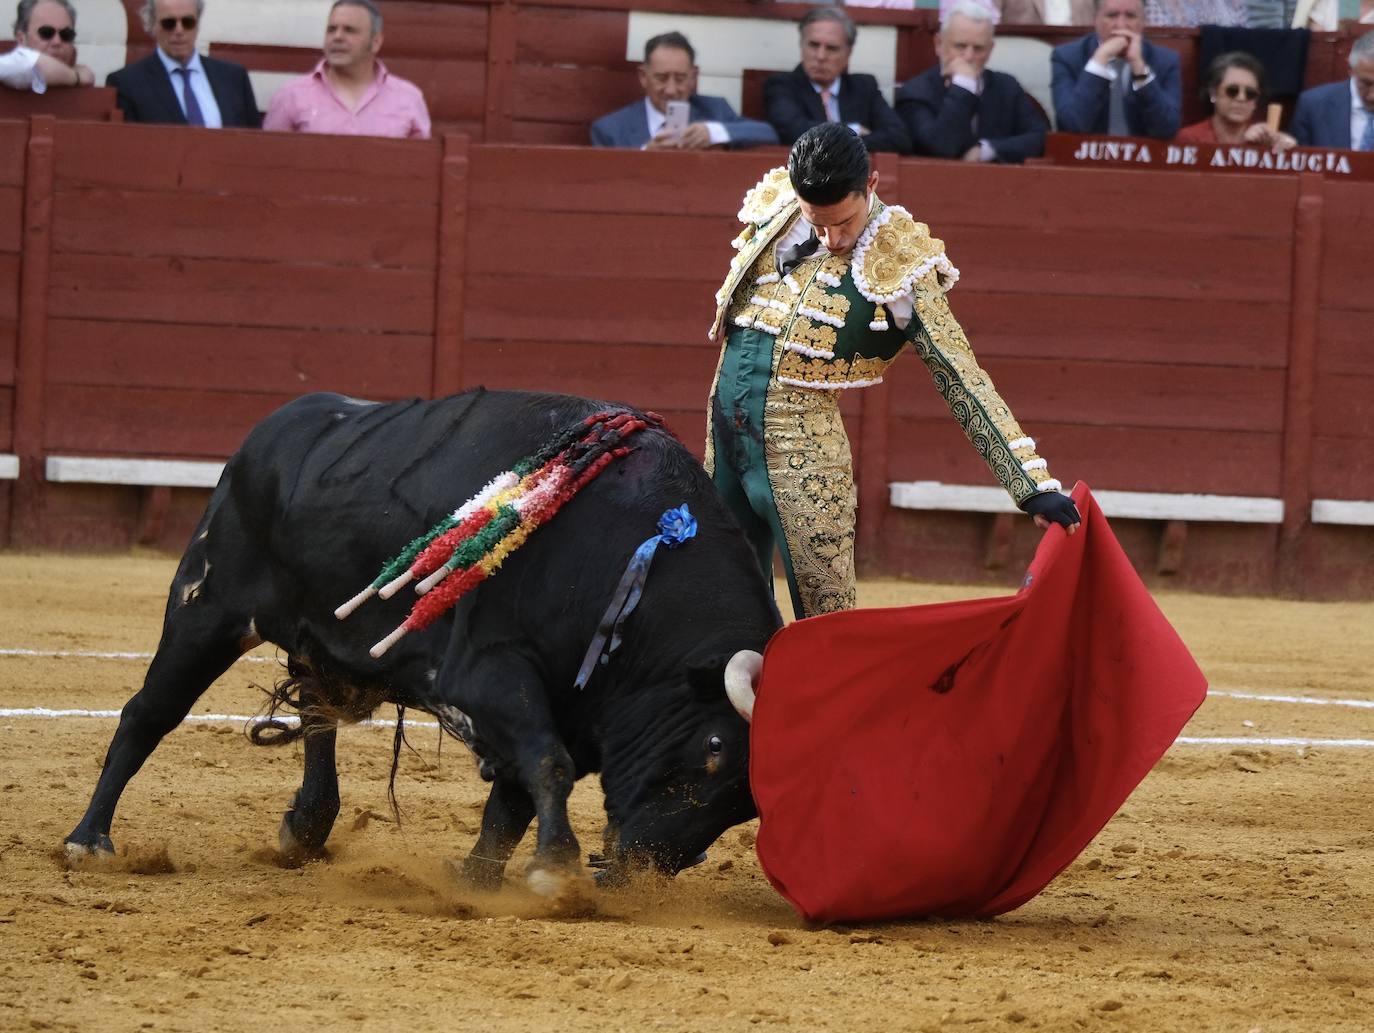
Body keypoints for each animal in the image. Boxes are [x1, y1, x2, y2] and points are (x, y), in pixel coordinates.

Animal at [66, 390, 785, 890]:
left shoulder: (570, 703)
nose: (638, 867)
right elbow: (544, 764)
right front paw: (554, 869)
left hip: (310, 634)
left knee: (317, 713)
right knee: (149, 713)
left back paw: (306, 826)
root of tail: (268, 431)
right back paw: (88, 839)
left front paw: (479, 879)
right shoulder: (489, 674)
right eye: (715, 748)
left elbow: (512, 798)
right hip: (207, 607)